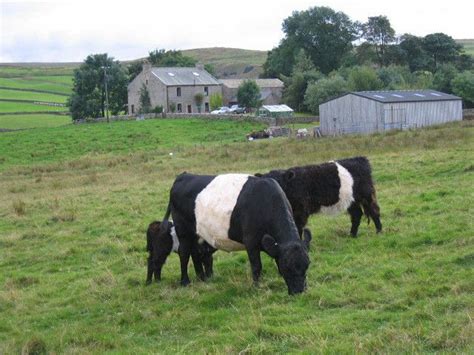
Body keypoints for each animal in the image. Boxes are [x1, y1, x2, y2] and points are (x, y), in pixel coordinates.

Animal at [155, 174, 312, 296]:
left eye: (307, 265)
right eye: (286, 266)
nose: (299, 291)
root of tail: (183, 175)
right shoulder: (251, 241)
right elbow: (256, 266)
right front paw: (256, 287)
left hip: (196, 232)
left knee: (194, 252)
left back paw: (202, 278)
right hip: (183, 230)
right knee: (184, 253)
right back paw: (185, 281)